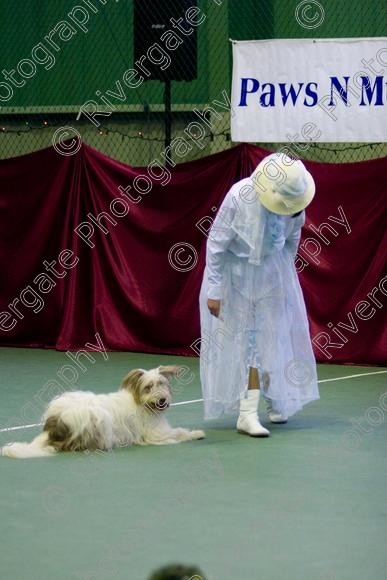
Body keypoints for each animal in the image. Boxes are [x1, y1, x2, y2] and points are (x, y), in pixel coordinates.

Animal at [1, 368, 206, 458]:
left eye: (162, 383)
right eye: (149, 387)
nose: (162, 399)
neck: (143, 404)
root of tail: (52, 426)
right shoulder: (156, 434)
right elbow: (179, 433)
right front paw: (196, 433)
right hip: (98, 417)